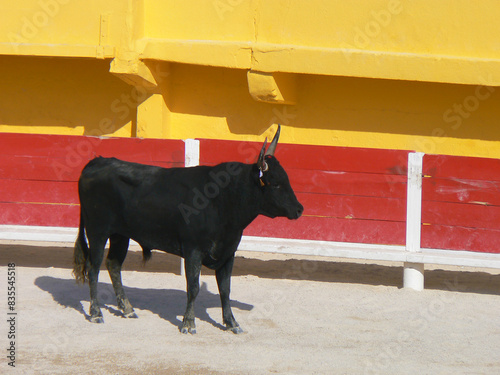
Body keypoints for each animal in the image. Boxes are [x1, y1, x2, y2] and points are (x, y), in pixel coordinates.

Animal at [73, 127, 302, 334]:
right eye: (275, 184)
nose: (300, 209)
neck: (223, 199)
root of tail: (96, 162)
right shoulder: (193, 250)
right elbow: (193, 287)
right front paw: (188, 323)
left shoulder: (228, 253)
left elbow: (225, 289)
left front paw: (232, 323)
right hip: (97, 231)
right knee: (93, 268)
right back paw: (96, 313)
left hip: (120, 235)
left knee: (113, 265)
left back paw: (127, 309)